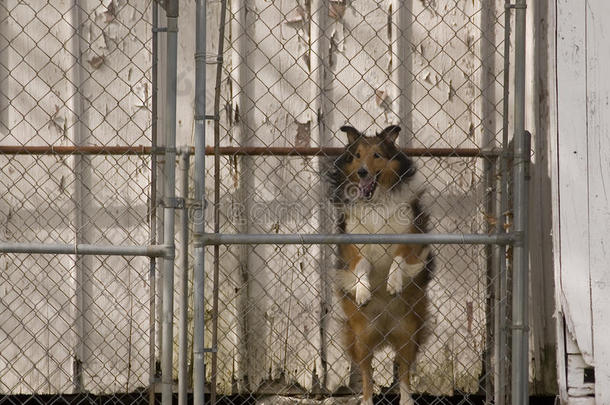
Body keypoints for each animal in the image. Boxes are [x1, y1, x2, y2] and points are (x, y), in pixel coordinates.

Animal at [328, 124, 432, 402]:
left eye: (377, 155)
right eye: (357, 155)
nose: (362, 172)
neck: (375, 202)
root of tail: (385, 331)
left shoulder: (411, 239)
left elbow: (397, 260)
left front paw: (393, 284)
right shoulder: (353, 245)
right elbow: (361, 266)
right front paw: (363, 291)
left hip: (408, 334)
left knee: (404, 371)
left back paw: (407, 400)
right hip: (361, 337)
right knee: (366, 373)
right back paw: (365, 400)